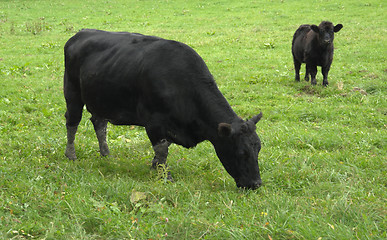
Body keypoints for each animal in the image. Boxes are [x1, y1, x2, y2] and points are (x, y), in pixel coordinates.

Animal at [63, 28, 264, 189]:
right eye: (242, 152)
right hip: (72, 93)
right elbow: (162, 150)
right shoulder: (154, 122)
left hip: (101, 99)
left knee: (99, 123)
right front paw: (164, 175)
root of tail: (81, 33)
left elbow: (162, 150)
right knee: (72, 122)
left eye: (258, 149)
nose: (256, 184)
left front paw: (155, 167)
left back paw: (106, 154)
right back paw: (71, 155)